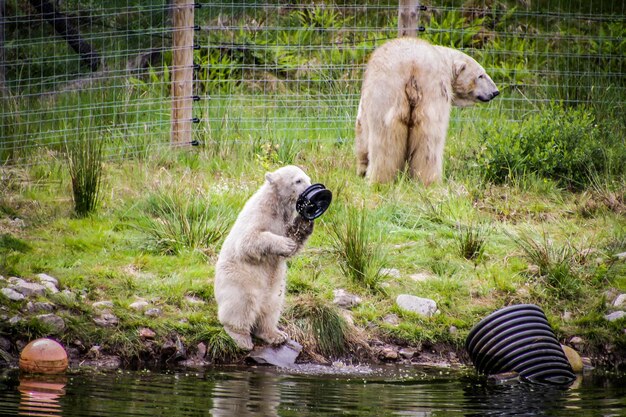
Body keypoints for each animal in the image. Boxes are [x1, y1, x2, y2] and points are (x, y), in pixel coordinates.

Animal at [213, 164, 312, 350]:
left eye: (308, 178)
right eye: (298, 180)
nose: (311, 188)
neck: (276, 205)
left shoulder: (284, 222)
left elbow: (293, 240)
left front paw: (306, 222)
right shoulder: (259, 214)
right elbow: (248, 241)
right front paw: (284, 244)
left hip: (275, 287)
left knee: (271, 307)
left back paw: (276, 334)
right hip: (240, 280)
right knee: (242, 305)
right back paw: (241, 337)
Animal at [356, 37, 498, 184]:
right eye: (481, 75)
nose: (495, 92)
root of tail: (412, 65)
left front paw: (361, 170)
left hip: (397, 90)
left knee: (391, 137)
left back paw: (384, 180)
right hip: (426, 89)